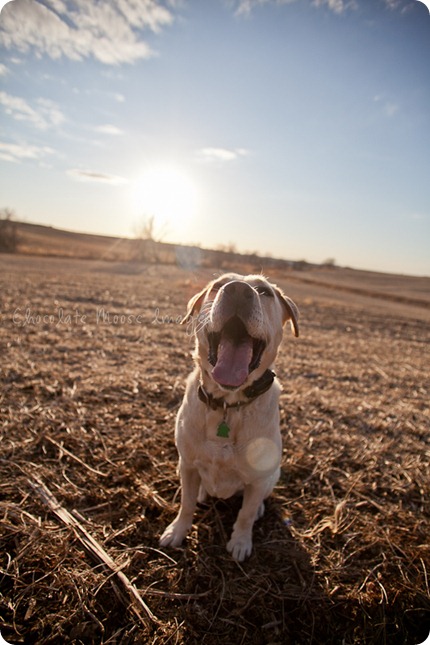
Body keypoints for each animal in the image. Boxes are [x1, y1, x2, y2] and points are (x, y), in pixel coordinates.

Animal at [159, 272, 298, 560]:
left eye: (265, 292)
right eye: (218, 285)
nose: (237, 291)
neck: (227, 404)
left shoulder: (258, 478)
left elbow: (245, 514)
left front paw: (241, 542)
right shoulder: (187, 465)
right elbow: (186, 503)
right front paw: (177, 531)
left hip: (272, 475)